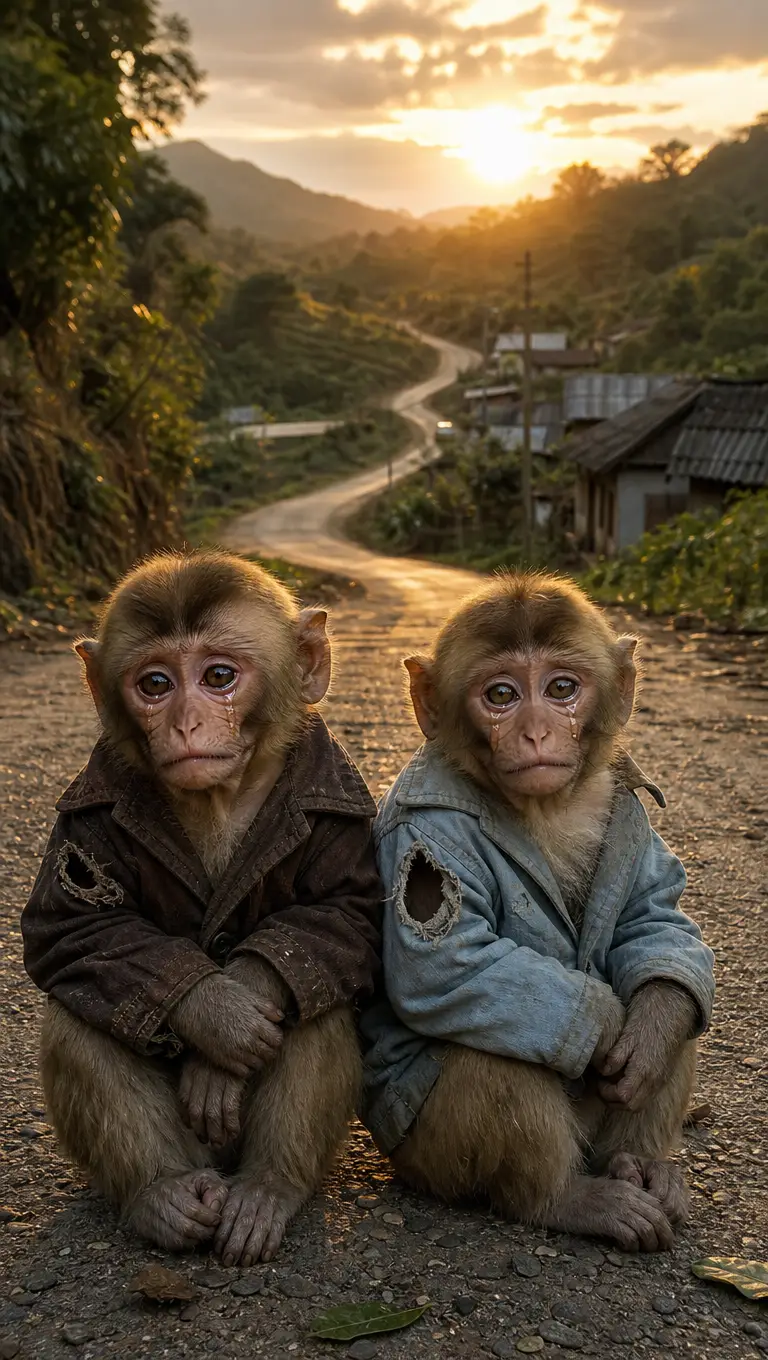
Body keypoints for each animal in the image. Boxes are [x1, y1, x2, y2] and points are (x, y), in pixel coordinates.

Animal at [21, 550, 382, 1261]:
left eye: (218, 677)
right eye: (156, 684)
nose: (185, 721)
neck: (220, 796)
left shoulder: (341, 809)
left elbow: (342, 914)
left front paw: (236, 1007)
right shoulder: (86, 812)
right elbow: (73, 927)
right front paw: (216, 1012)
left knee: (313, 996)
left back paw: (267, 1192)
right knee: (88, 1004)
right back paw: (159, 1195)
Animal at [359, 571, 715, 1251]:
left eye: (561, 689)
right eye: (501, 695)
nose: (535, 732)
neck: (543, 807)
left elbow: (654, 920)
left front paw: (644, 1035)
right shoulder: (424, 837)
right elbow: (446, 963)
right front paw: (607, 1025)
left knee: (670, 991)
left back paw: (644, 1167)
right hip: (431, 1154)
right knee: (498, 1039)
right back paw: (565, 1199)